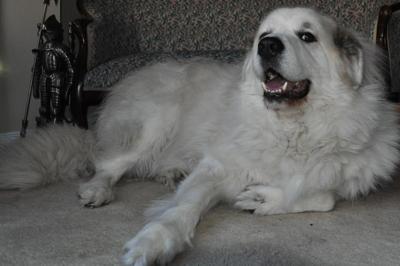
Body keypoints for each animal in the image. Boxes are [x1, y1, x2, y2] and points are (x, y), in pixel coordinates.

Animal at [0, 6, 400, 266]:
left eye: (307, 36)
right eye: (263, 35)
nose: (267, 45)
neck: (291, 129)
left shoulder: (336, 177)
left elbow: (322, 198)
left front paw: (263, 199)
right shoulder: (215, 167)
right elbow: (182, 208)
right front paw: (153, 242)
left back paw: (170, 172)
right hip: (154, 121)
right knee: (108, 164)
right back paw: (99, 190)